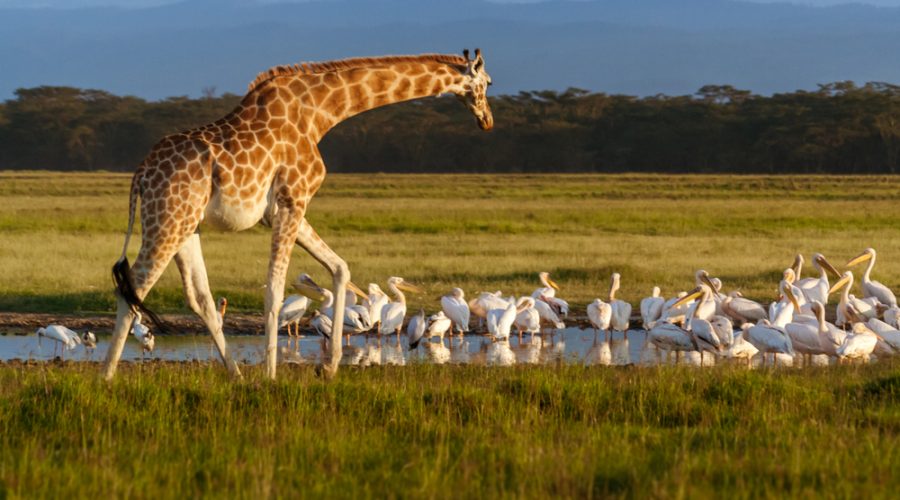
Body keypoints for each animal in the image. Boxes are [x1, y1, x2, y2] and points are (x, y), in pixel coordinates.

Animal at [104, 49, 494, 380]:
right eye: (488, 82)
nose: (487, 120)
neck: (321, 112)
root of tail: (141, 175)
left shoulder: (286, 209)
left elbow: (340, 267)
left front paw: (330, 367)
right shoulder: (293, 200)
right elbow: (275, 291)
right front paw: (271, 375)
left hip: (187, 227)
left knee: (199, 299)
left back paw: (237, 375)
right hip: (168, 221)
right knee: (133, 288)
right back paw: (106, 376)